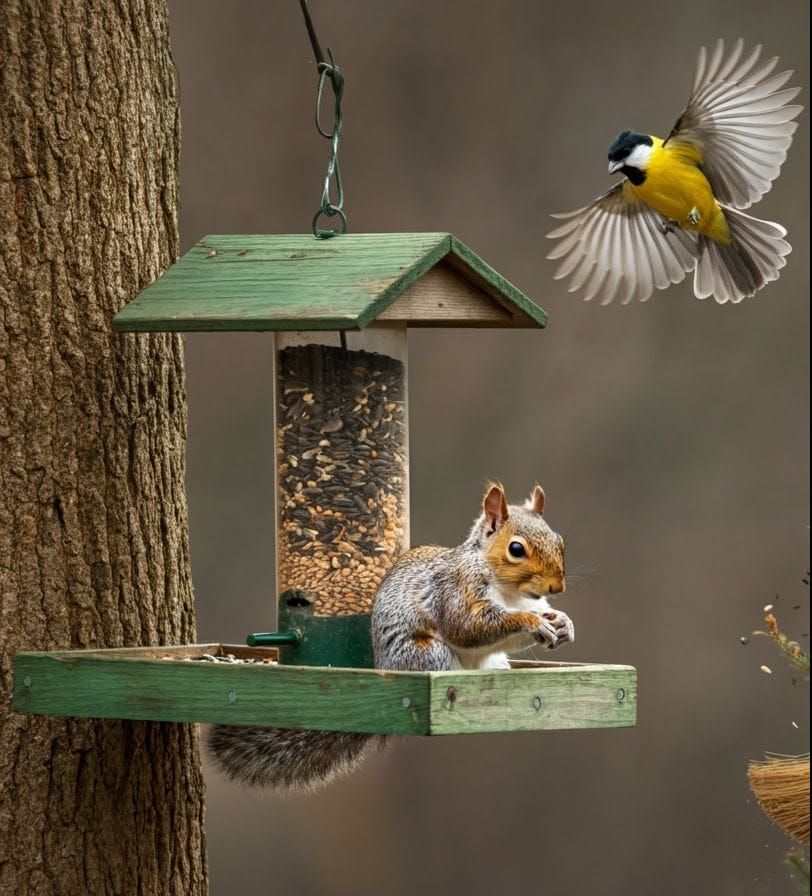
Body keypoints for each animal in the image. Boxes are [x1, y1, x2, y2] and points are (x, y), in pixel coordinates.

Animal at [207, 482, 574, 792]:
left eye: (560, 542)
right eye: (516, 549)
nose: (557, 587)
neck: (511, 592)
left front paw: (562, 622)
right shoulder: (457, 593)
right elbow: (469, 627)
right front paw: (531, 621)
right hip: (427, 653)